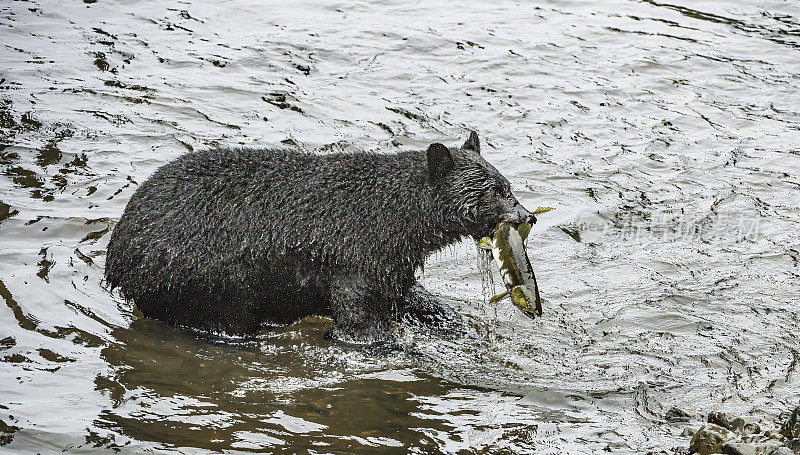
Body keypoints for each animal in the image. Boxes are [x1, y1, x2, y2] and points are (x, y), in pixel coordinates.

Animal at [101, 134, 536, 344]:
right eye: (495, 192)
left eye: (507, 185)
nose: (526, 215)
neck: (398, 215)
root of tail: (116, 254)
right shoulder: (354, 254)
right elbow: (358, 319)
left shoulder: (389, 260)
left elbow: (403, 295)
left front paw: (452, 321)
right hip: (202, 275)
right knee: (223, 316)